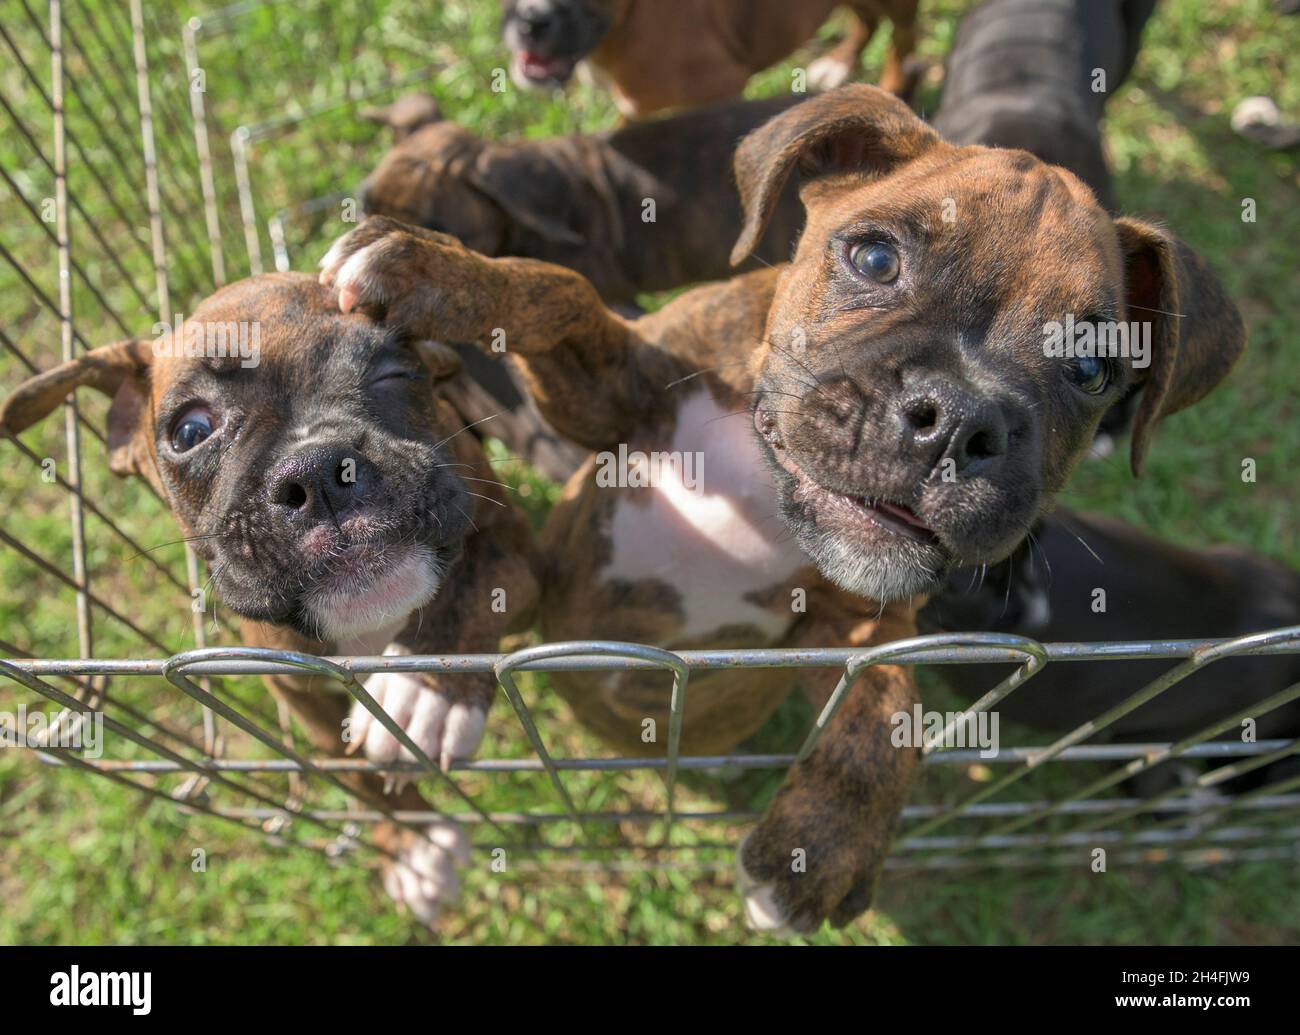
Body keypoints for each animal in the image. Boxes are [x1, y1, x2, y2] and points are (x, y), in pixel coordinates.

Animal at [0, 270, 538, 925]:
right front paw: (414, 845)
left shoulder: (522, 554)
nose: (322, 469)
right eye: (190, 432)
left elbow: (474, 582)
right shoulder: (300, 694)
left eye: (393, 372)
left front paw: (426, 691)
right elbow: (356, 778)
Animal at [317, 85, 1248, 936]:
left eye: (1091, 367)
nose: (958, 417)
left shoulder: (851, 623)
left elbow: (894, 702)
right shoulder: (604, 402)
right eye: (873, 259)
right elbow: (561, 289)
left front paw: (821, 844)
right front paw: (432, 270)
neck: (763, 486)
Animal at [501, 0, 920, 116]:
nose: (532, 21)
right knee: (866, 19)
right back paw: (841, 61)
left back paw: (895, 87)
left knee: (903, 38)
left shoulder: (722, 87)